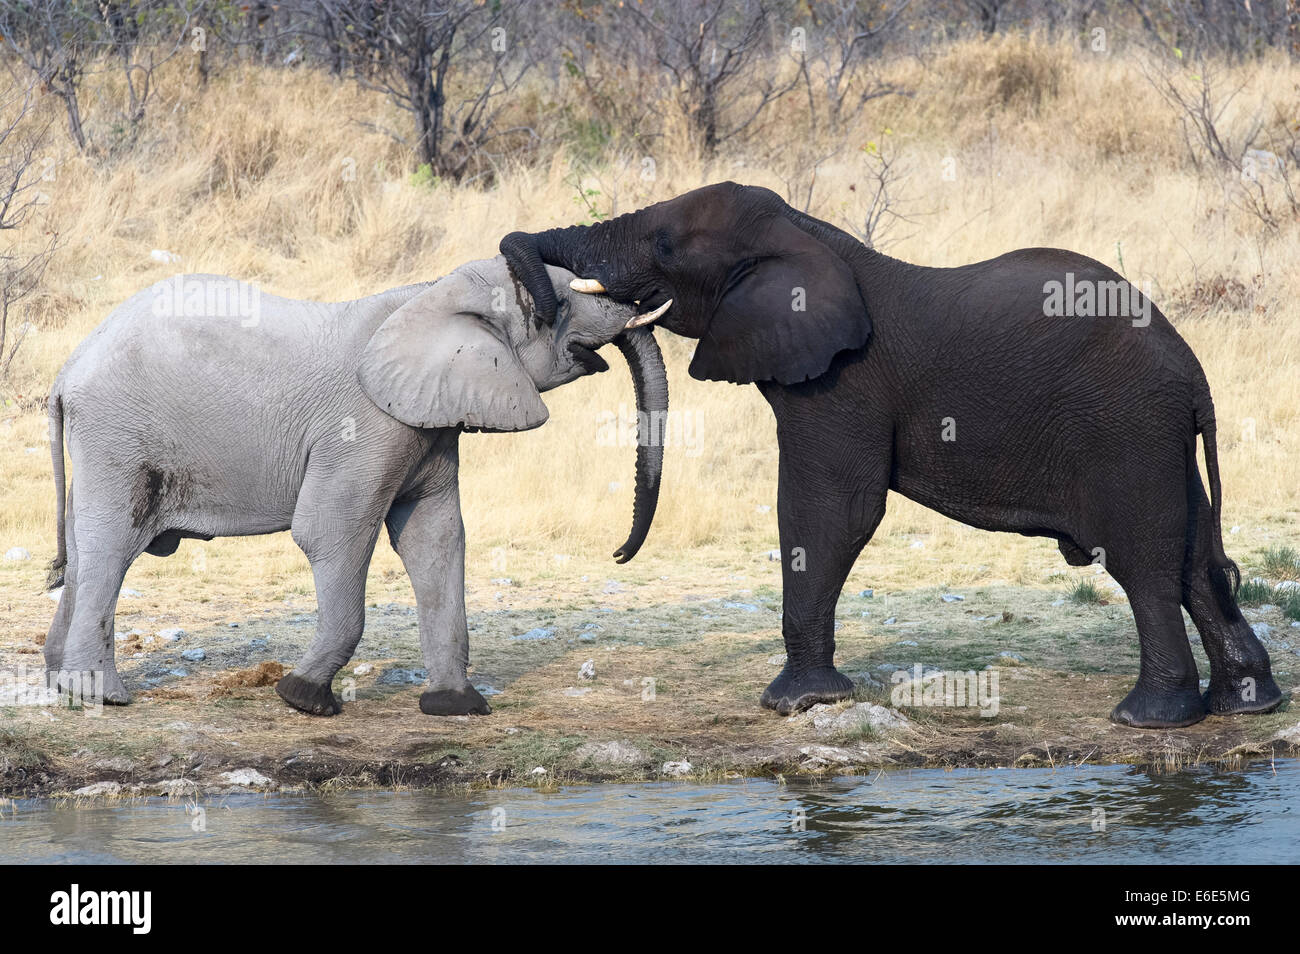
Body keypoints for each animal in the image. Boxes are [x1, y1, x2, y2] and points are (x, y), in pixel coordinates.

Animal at [43, 254, 670, 717]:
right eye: (556, 306)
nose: (619, 553)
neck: (431, 293)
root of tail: (67, 370)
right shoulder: (366, 428)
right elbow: (331, 533)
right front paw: (302, 698)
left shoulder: (428, 425)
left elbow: (436, 540)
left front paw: (456, 707)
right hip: (119, 435)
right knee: (111, 546)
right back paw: (103, 697)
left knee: (80, 544)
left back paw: (59, 682)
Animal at [501, 180, 1284, 733]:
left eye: (664, 245)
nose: (618, 554)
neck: (804, 231)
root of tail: (1193, 372)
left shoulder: (841, 383)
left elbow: (831, 513)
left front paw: (793, 705)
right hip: (1159, 438)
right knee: (1195, 557)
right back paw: (1250, 705)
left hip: (1127, 429)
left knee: (1143, 562)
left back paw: (1147, 720)